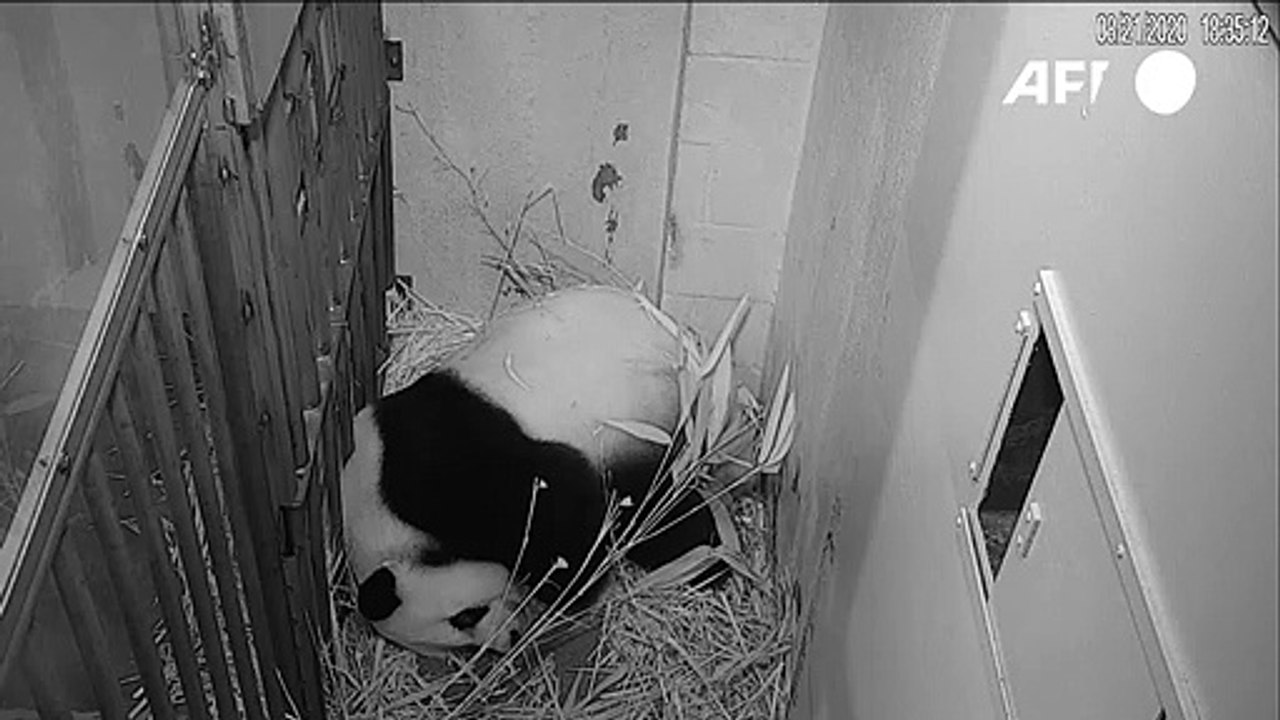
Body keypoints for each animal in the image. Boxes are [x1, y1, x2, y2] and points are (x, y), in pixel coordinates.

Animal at [340, 285, 723, 656]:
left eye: (465, 616)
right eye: (461, 646)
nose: (509, 638)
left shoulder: (438, 467)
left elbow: (559, 509)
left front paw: (569, 589)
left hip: (642, 421)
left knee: (654, 503)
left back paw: (706, 562)